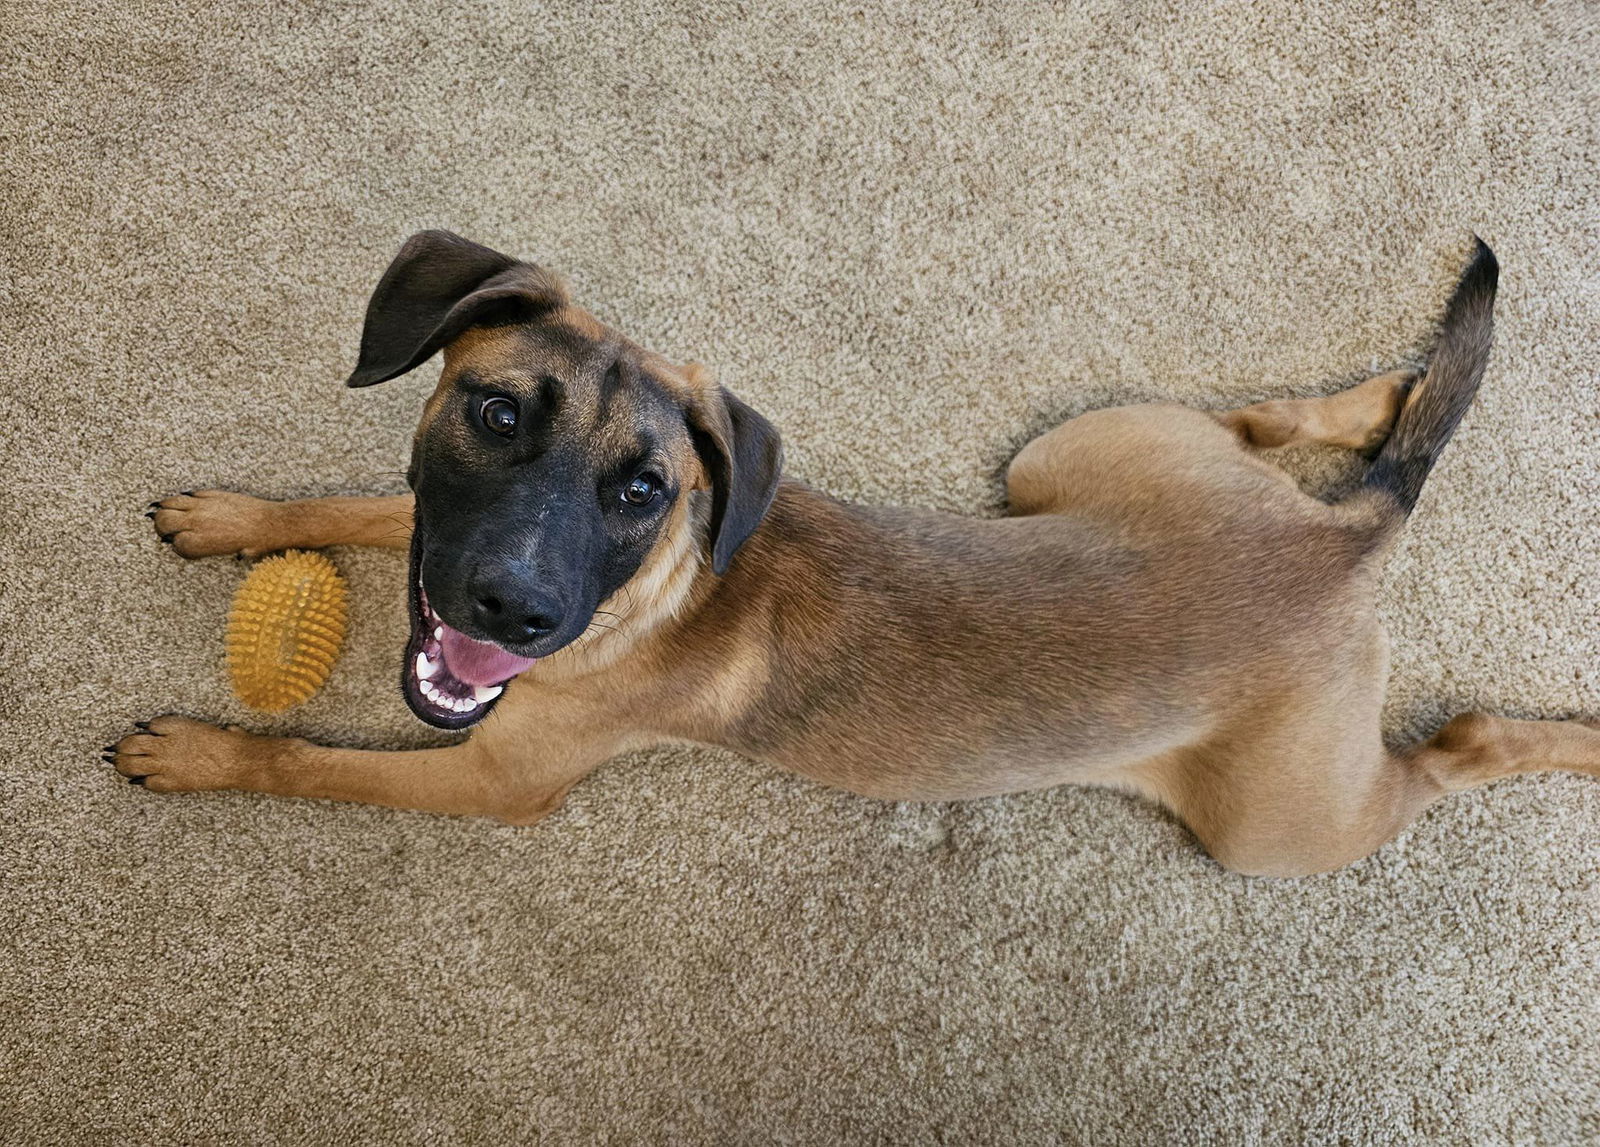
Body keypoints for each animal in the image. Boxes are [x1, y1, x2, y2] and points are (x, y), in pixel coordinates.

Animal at [112, 231, 1600, 876]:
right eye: (493, 412)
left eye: (643, 489)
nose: (513, 607)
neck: (650, 597)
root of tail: (1342, 547)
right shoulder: (440, 535)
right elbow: (370, 507)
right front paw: (237, 517)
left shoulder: (493, 780)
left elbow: (315, 760)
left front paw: (202, 753)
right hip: (1072, 455)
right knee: (1266, 422)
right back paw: (1382, 397)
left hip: (1277, 830)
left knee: (1459, 742)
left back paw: (1559, 739)